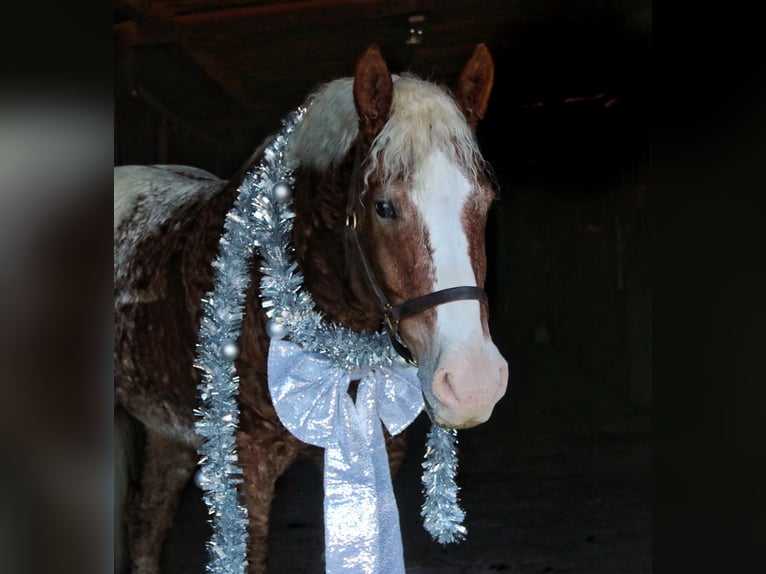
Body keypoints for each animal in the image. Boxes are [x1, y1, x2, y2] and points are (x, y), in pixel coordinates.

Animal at [114, 43, 508, 573]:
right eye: (384, 207)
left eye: (485, 202)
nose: (472, 384)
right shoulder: (248, 465)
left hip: (166, 428)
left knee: (145, 522)